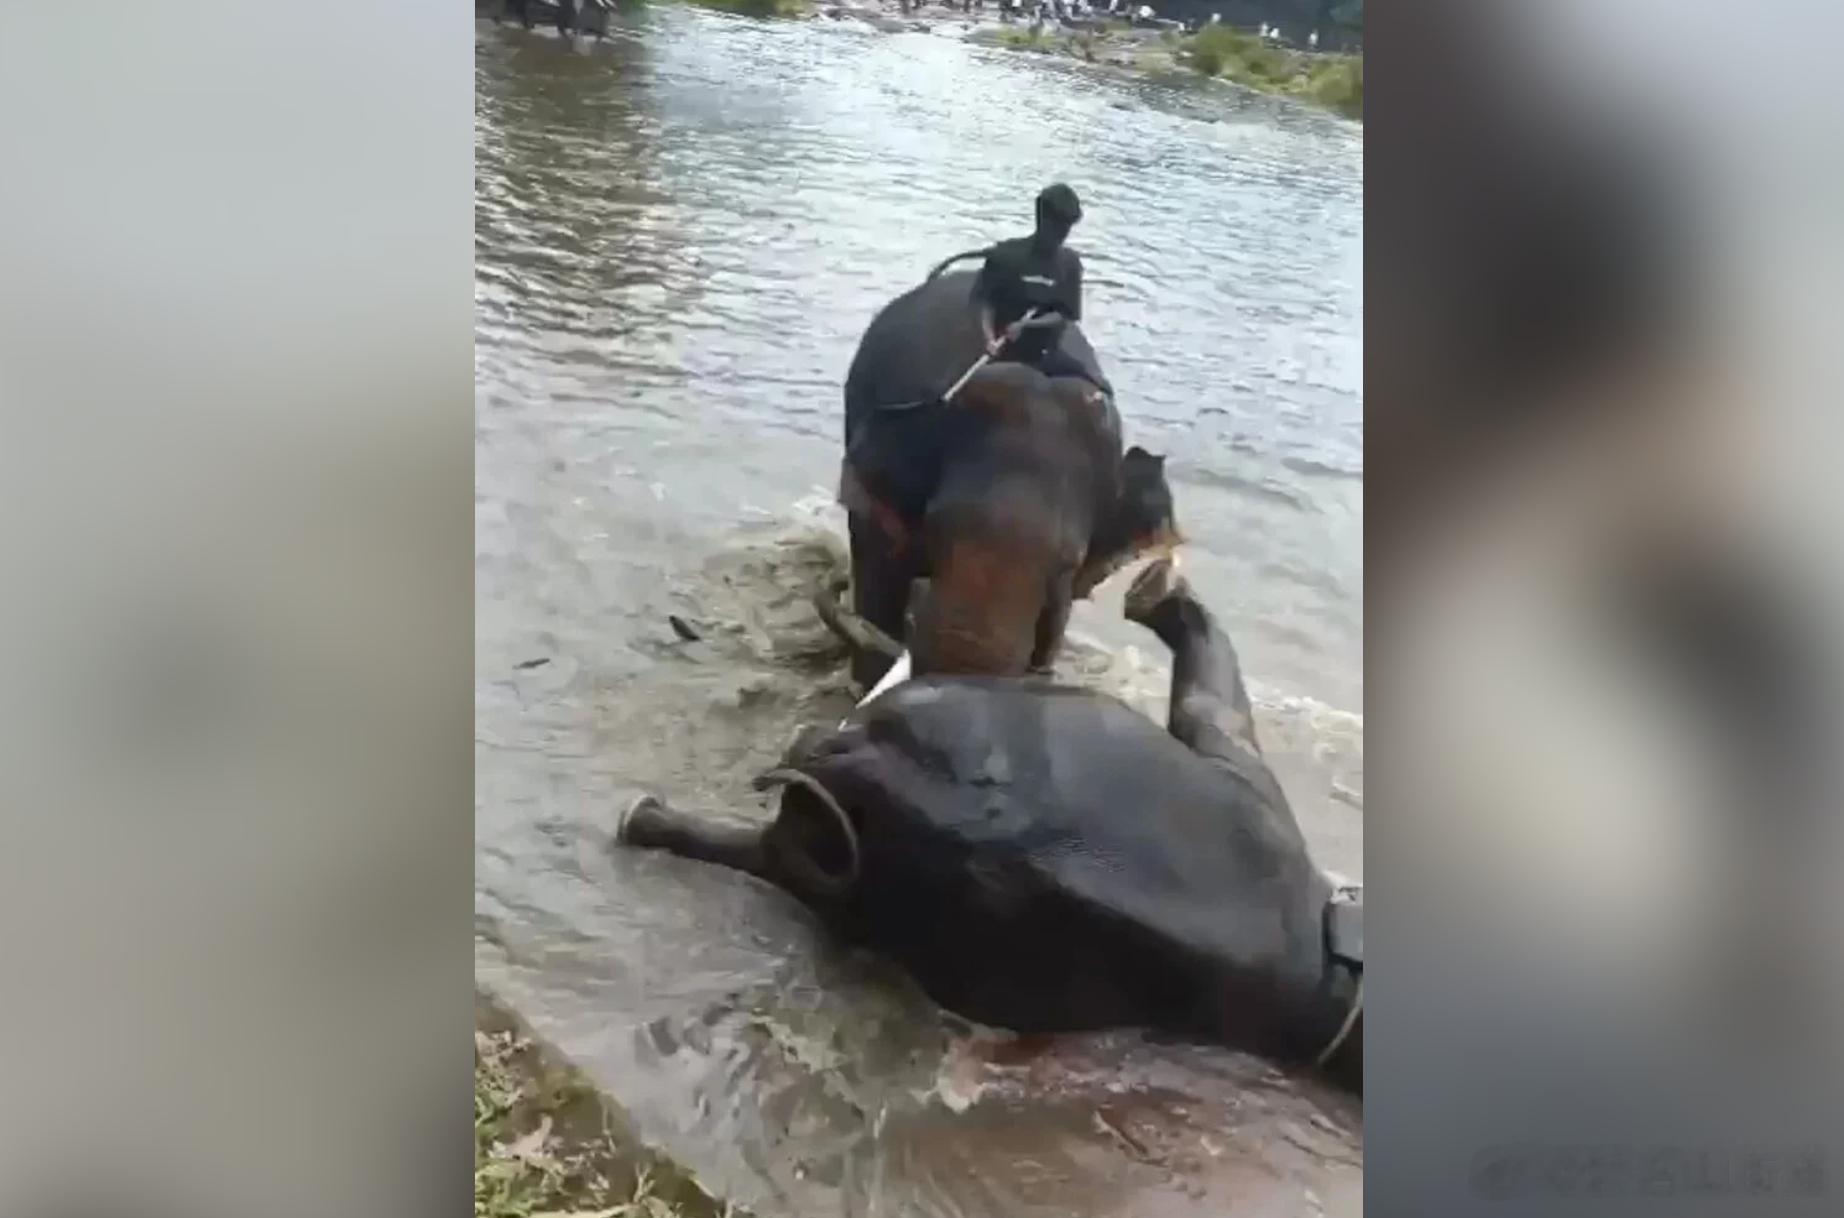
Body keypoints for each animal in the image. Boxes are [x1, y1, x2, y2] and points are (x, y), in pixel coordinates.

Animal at [618, 558, 1364, 1093]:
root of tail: (860, 761)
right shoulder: (1245, 782)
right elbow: (1214, 698)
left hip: (888, 881)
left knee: (777, 849)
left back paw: (647, 818)